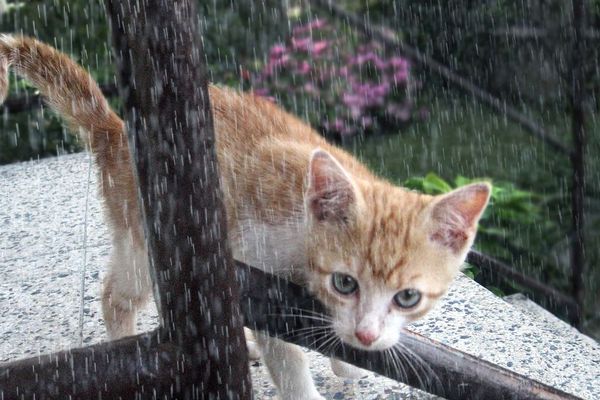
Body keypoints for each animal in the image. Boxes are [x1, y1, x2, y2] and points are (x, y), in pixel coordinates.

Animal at [0, 36, 490, 398]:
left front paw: (348, 359)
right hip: (144, 233)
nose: (367, 335)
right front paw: (310, 378)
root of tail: (116, 130)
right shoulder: (261, 267)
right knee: (121, 294)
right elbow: (286, 354)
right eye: (344, 282)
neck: (301, 218)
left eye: (408, 297)